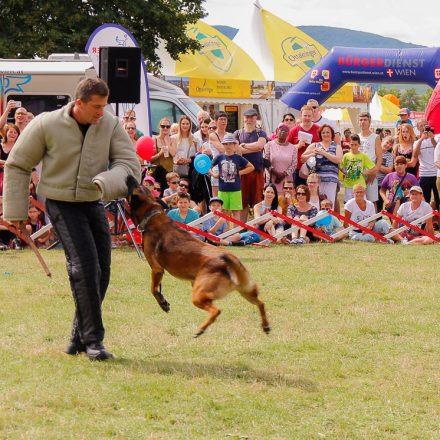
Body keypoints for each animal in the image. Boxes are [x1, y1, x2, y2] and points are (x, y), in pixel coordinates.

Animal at [124, 175, 268, 336]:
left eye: (136, 185)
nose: (129, 176)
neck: (152, 215)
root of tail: (228, 259)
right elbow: (157, 289)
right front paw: (164, 302)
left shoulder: (156, 269)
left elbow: (153, 289)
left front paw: (163, 303)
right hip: (244, 290)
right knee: (261, 303)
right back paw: (265, 326)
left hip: (198, 294)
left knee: (216, 310)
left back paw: (201, 329)